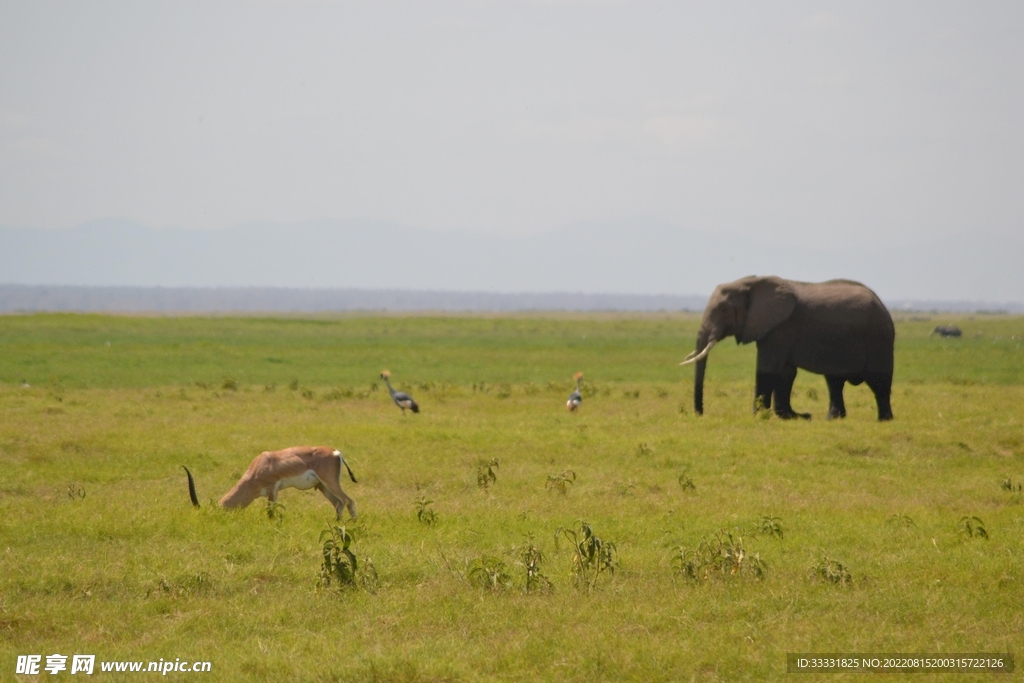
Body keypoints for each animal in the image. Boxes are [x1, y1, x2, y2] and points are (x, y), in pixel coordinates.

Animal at [681, 276, 895, 421]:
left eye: (724, 310)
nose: (700, 414)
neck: (751, 282)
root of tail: (882, 304)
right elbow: (785, 373)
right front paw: (795, 416)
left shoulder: (780, 327)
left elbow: (768, 368)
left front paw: (759, 416)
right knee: (834, 382)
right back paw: (833, 418)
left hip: (880, 340)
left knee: (879, 382)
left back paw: (884, 420)